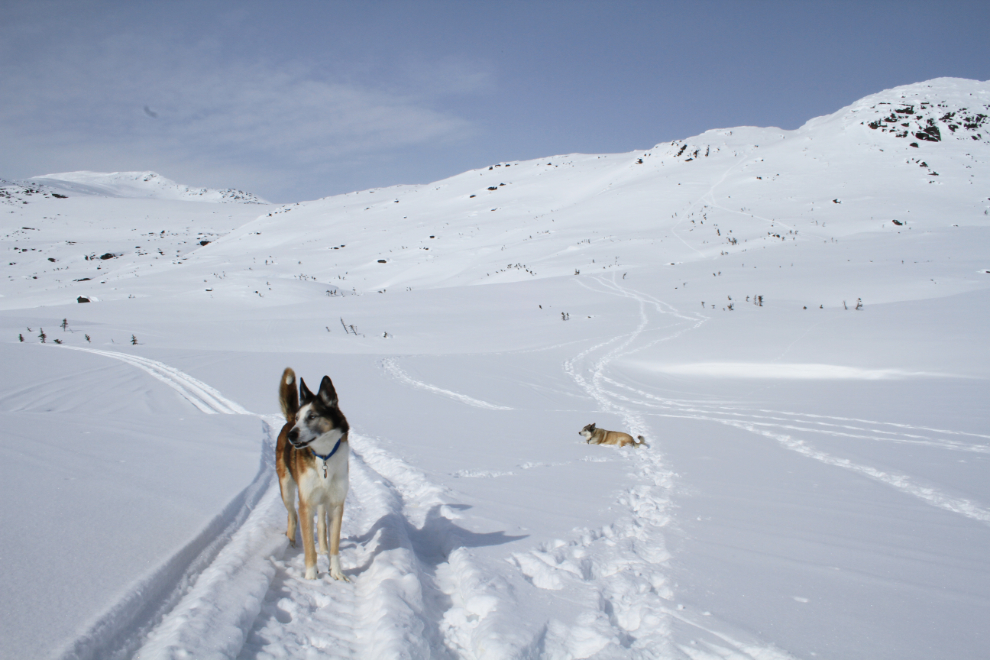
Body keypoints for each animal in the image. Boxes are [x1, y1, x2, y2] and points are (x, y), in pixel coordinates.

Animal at [278, 368, 350, 580]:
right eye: (299, 418)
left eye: (312, 416)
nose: (292, 435)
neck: (324, 457)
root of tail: (287, 422)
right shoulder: (306, 504)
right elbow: (309, 544)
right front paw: (311, 576)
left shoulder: (336, 504)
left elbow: (334, 544)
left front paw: (336, 573)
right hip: (287, 490)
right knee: (292, 516)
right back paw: (291, 541)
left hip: (322, 500)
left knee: (321, 526)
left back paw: (323, 549)